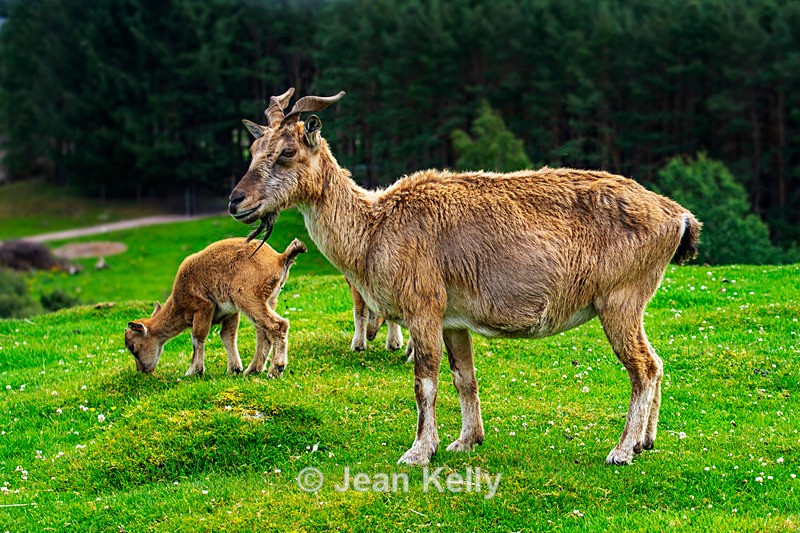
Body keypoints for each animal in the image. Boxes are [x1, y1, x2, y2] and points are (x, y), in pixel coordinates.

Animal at [125, 237, 306, 377]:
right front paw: (234, 369)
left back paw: (276, 369)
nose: (142, 370)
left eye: (132, 347)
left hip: (248, 296)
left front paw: (193, 371)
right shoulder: (230, 313)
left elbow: (197, 337)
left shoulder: (203, 306)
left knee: (278, 325)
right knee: (264, 332)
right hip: (269, 300)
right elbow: (227, 336)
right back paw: (253, 370)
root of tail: (279, 258)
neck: (179, 305)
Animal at [229, 89, 701, 466]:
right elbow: (464, 378)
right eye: (252, 151)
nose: (236, 201)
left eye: (287, 151)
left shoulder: (423, 306)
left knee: (643, 367)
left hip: (620, 298)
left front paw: (419, 451)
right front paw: (465, 441)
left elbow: (425, 381)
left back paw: (621, 450)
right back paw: (646, 442)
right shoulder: (453, 319)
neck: (375, 229)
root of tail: (678, 217)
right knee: (657, 363)